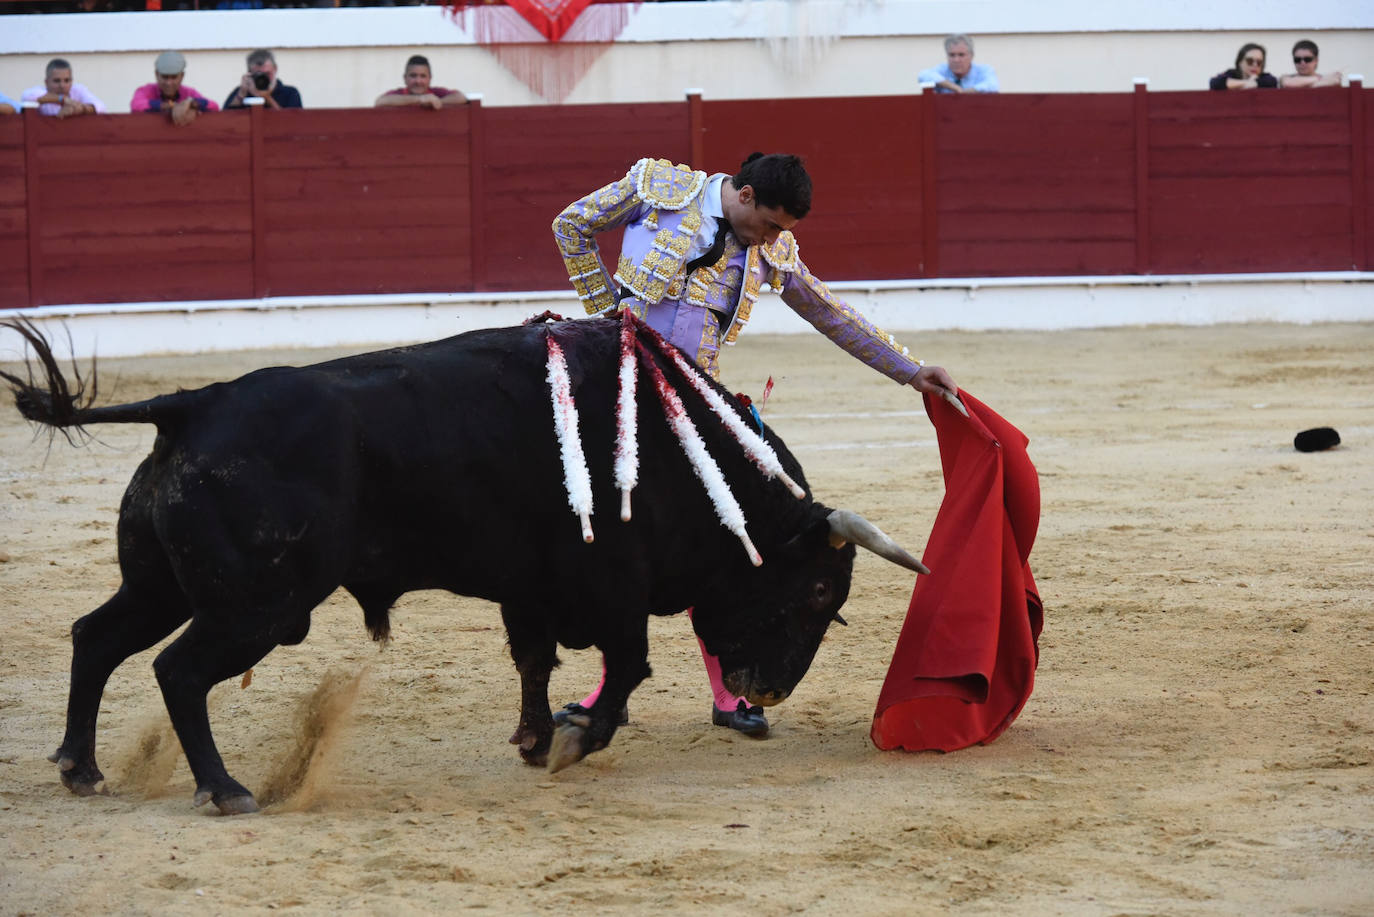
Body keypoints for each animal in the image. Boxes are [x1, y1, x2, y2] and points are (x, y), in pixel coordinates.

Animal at [2, 317, 923, 819]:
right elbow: (626, 664)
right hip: (257, 605)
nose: (769, 689)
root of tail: (194, 404)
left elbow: (534, 661)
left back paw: (81, 767)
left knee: (97, 637)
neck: (681, 454)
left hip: (161, 583)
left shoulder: (531, 589)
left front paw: (535, 738)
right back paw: (225, 787)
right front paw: (575, 740)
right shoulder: (612, 588)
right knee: (179, 669)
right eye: (816, 589)